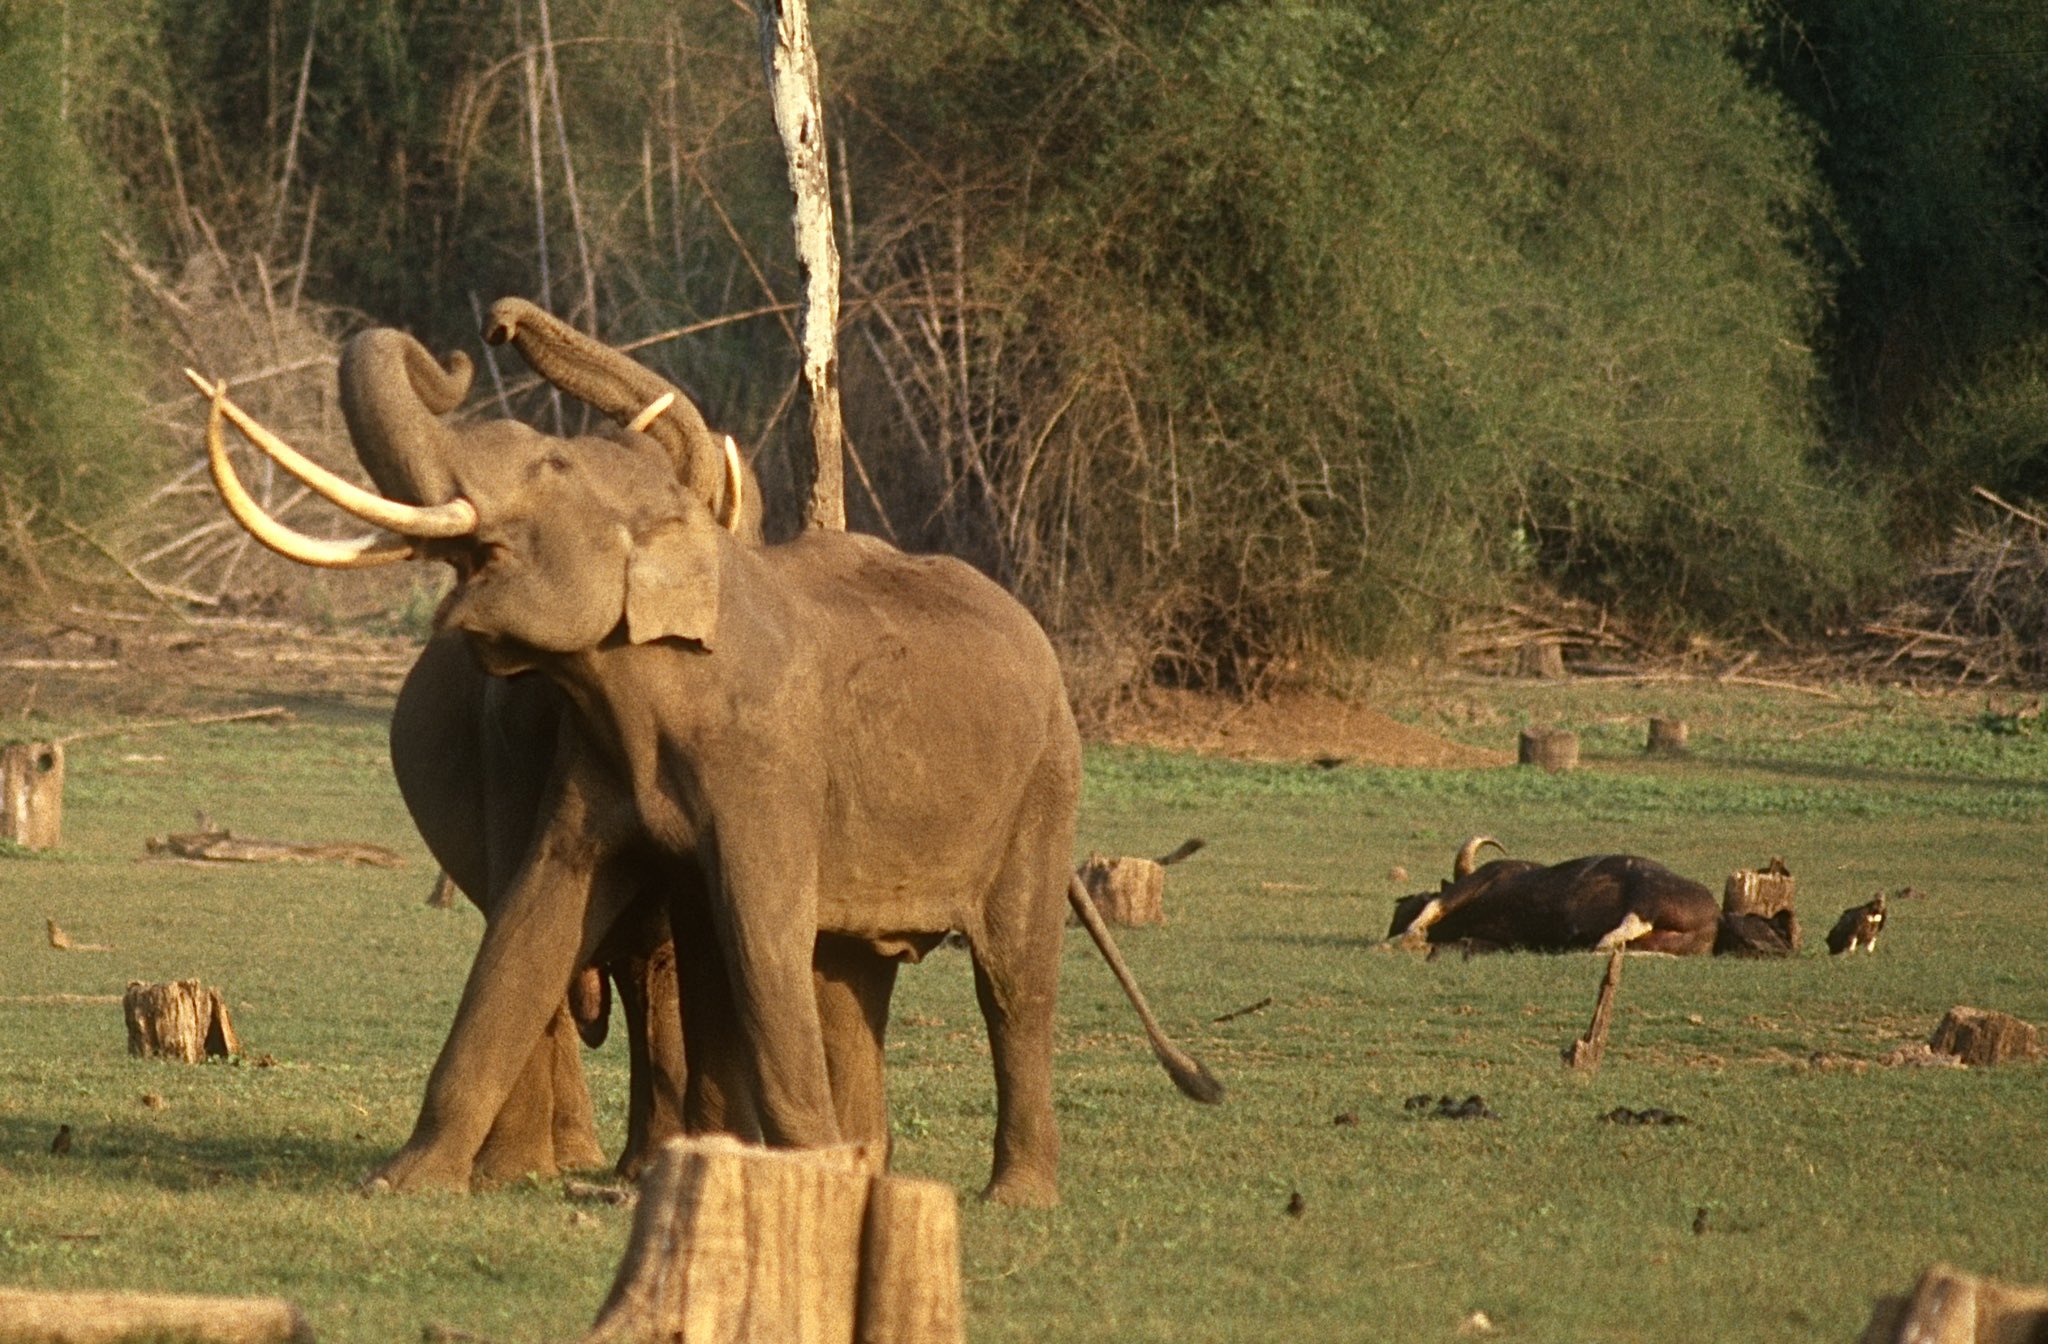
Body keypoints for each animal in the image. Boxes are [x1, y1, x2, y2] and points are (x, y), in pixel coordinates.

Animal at [195, 317, 1212, 1204]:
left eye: (550, 464)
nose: (482, 336)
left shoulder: (767, 761)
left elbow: (759, 935)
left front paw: (802, 1178)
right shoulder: (594, 766)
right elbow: (534, 922)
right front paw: (398, 1185)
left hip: (1045, 785)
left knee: (1011, 979)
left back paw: (1013, 1196)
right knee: (852, 976)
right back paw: (869, 1171)